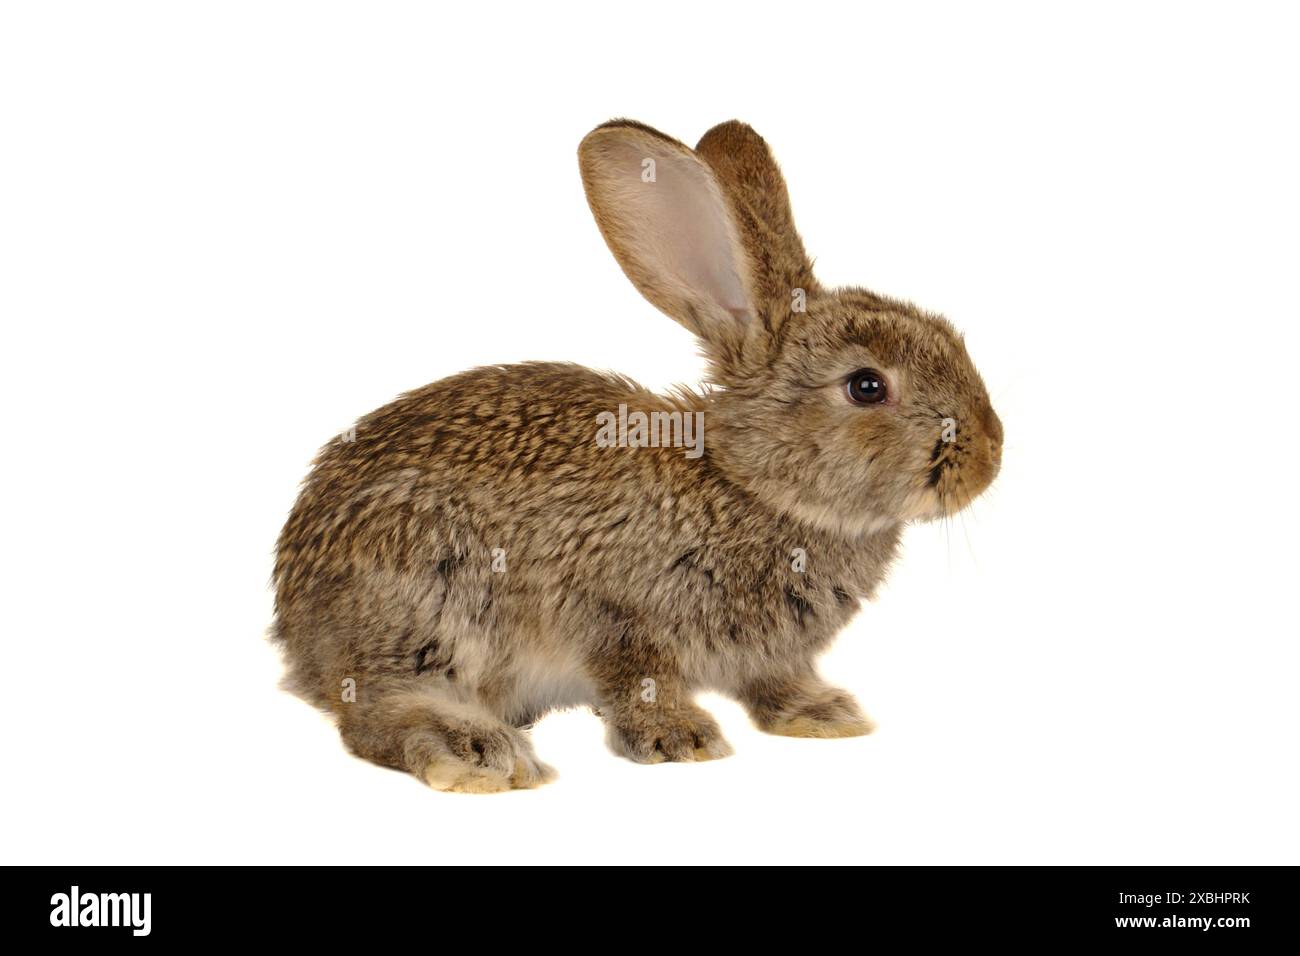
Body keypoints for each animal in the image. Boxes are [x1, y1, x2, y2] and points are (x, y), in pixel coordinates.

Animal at [272, 118, 1003, 793]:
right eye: (866, 386)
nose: (990, 458)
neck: (749, 484)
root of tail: (294, 626)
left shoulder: (765, 657)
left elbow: (774, 682)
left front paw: (823, 713)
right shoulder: (619, 614)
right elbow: (638, 677)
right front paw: (681, 738)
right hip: (435, 592)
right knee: (373, 714)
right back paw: (479, 753)